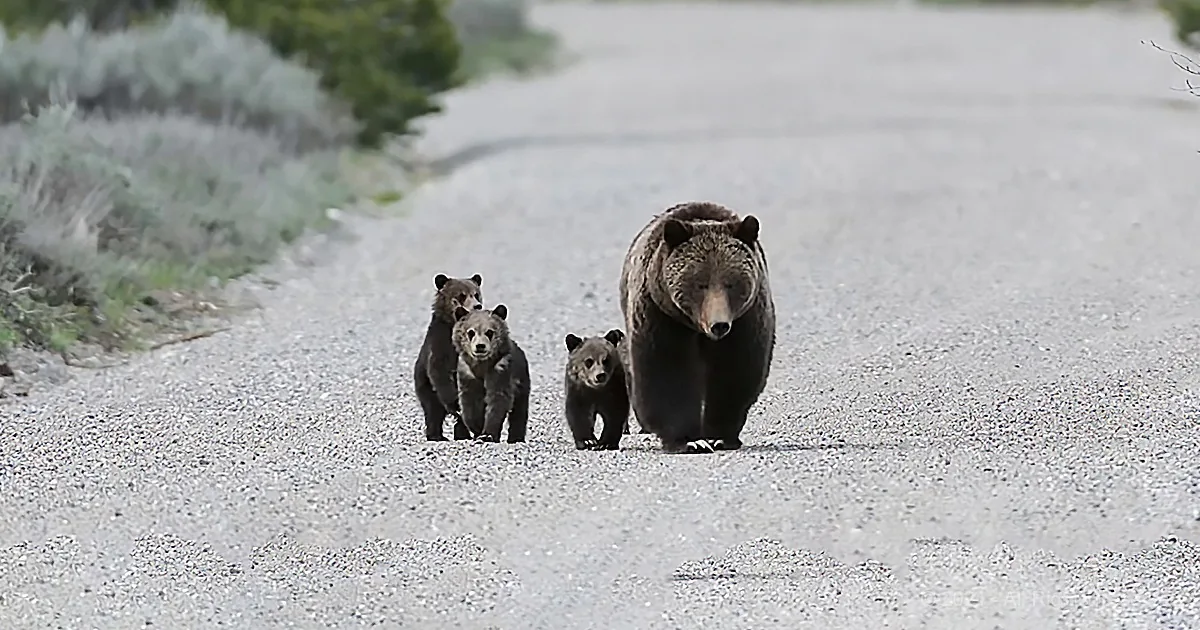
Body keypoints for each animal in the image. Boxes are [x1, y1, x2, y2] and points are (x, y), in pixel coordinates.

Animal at [413, 273, 484, 441]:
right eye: (461, 295)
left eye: (476, 294)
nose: (477, 305)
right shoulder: (441, 343)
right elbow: (440, 370)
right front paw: (455, 403)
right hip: (425, 386)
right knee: (433, 410)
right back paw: (436, 435)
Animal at [452, 304, 531, 443]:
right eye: (471, 332)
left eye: (489, 332)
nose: (480, 346)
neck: (482, 365)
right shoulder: (467, 373)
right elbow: (469, 402)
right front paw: (477, 429)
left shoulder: (500, 370)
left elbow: (498, 400)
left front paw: (487, 434)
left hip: (522, 382)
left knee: (519, 411)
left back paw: (516, 438)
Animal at [618, 201, 776, 454]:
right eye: (700, 284)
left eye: (731, 283)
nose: (719, 325)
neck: (697, 328)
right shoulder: (662, 318)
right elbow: (668, 373)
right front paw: (688, 440)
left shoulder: (745, 322)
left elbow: (733, 373)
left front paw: (719, 436)